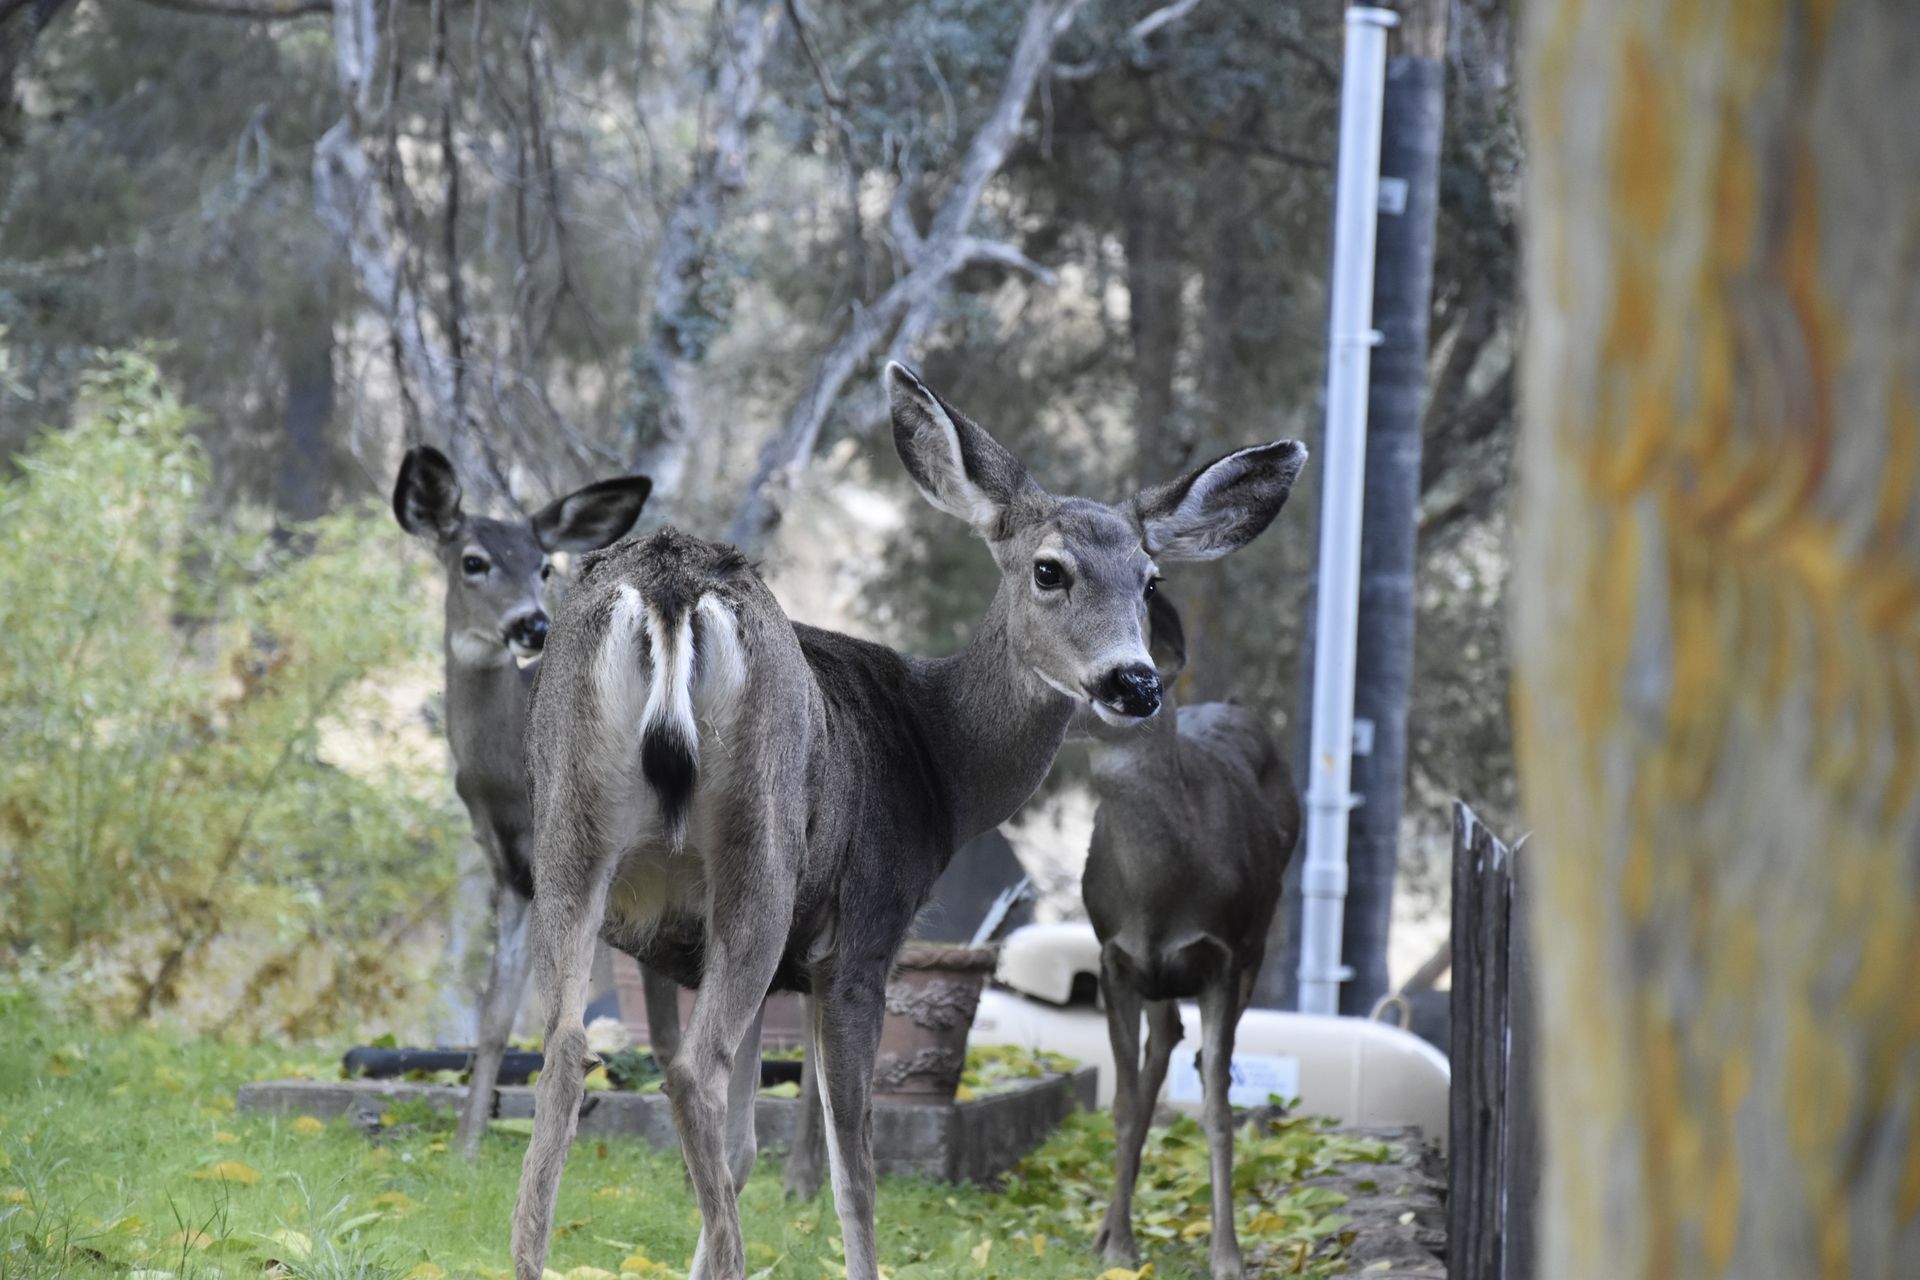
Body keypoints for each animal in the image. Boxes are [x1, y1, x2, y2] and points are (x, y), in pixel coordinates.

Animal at [390, 445, 664, 1160]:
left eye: (544, 565)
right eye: (473, 560)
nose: (532, 623)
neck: (507, 779)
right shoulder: (511, 872)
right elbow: (493, 1016)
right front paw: (466, 1145)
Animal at [1079, 588, 1300, 1280]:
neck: (1159, 895)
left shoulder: (1222, 959)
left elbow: (1218, 1110)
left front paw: (1227, 1255)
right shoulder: (1115, 959)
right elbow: (1124, 1105)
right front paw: (1120, 1246)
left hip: (1258, 939)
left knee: (1200, 1062)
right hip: (1155, 975)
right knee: (1161, 1049)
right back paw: (1107, 1226)